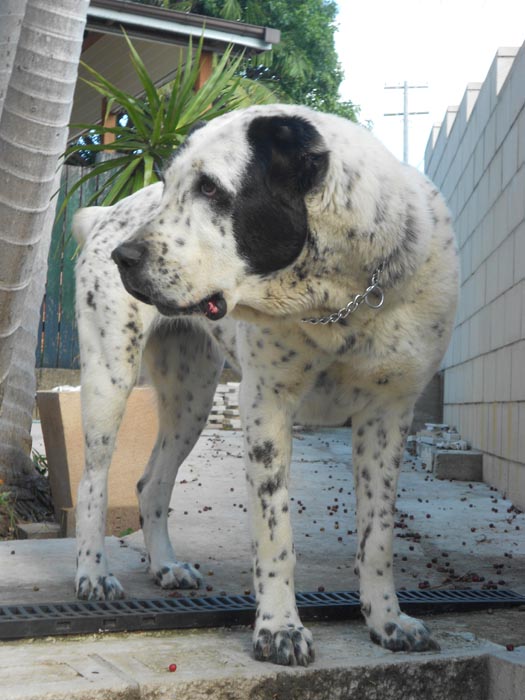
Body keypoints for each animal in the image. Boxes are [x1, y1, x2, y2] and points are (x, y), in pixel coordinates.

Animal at [71, 101, 456, 664]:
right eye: (167, 184)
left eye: (210, 188)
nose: (125, 257)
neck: (341, 302)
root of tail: (104, 215)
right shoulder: (267, 406)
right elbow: (276, 535)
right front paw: (279, 629)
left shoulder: (388, 415)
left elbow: (378, 538)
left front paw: (387, 622)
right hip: (110, 379)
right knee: (94, 481)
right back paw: (92, 572)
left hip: (191, 400)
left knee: (151, 482)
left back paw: (166, 566)